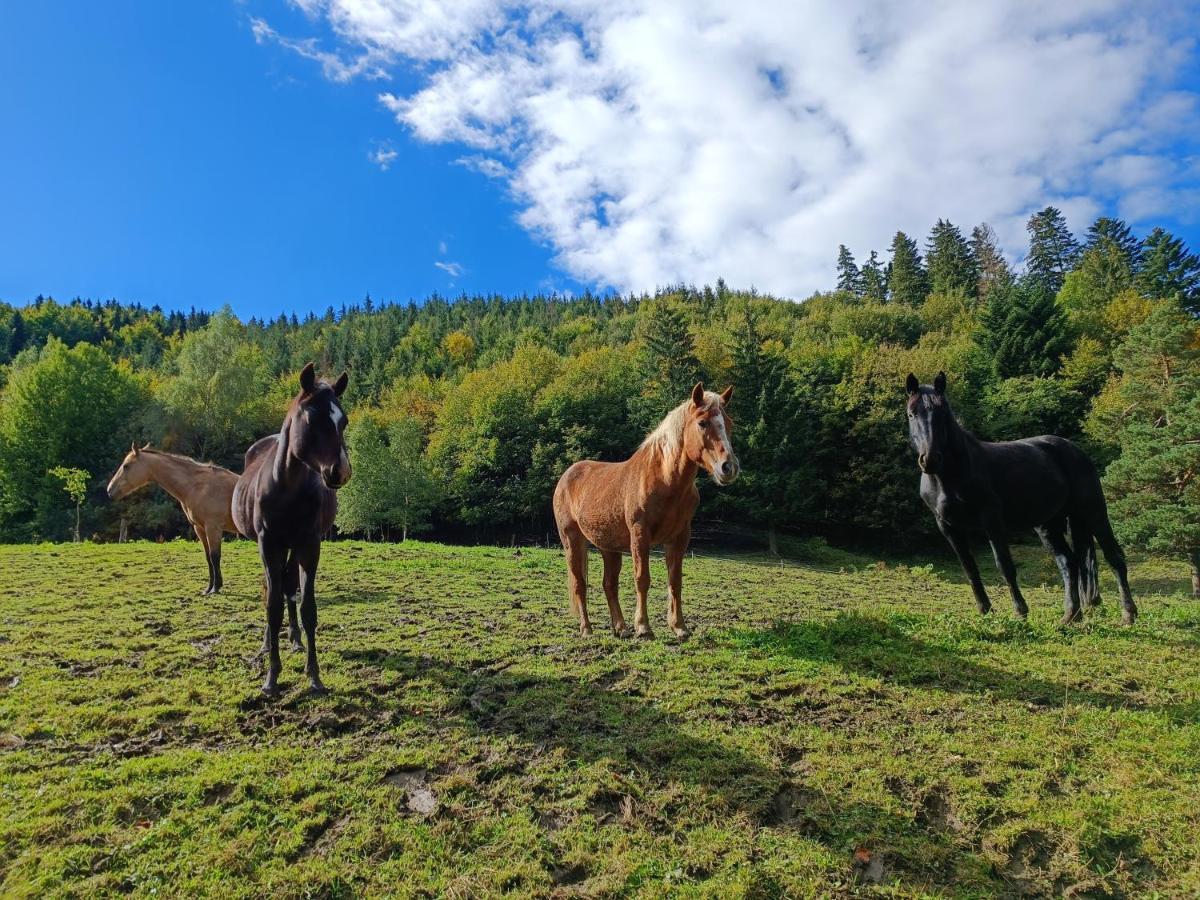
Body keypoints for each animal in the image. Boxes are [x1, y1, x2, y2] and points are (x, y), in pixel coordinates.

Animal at [108, 446, 238, 600]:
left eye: (126, 466)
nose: (109, 490)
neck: (198, 486)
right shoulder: (200, 528)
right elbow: (208, 558)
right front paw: (208, 588)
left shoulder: (213, 528)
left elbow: (215, 556)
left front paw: (215, 588)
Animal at [231, 364, 350, 696]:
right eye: (312, 419)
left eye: (343, 421)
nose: (341, 471)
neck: (286, 487)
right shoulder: (268, 544)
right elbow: (271, 606)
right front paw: (271, 677)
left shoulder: (309, 544)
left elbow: (307, 607)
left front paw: (315, 676)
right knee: (272, 588)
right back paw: (266, 643)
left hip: (294, 547)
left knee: (288, 584)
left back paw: (294, 639)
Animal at [554, 386, 739, 643]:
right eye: (702, 423)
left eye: (729, 423)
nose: (728, 467)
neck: (664, 480)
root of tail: (566, 476)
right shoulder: (640, 534)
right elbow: (642, 579)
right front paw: (643, 628)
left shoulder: (680, 537)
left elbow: (675, 581)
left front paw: (679, 627)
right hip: (572, 540)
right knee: (580, 584)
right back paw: (587, 629)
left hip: (608, 547)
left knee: (609, 584)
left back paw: (621, 628)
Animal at [907, 374, 1132, 628]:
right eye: (911, 414)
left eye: (943, 413)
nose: (930, 459)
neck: (951, 477)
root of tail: (1075, 450)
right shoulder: (948, 527)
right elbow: (970, 569)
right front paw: (985, 611)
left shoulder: (991, 521)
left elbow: (1004, 565)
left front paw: (1020, 611)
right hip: (1049, 525)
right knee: (1069, 563)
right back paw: (1070, 616)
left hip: (1093, 512)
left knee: (1114, 557)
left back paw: (1128, 614)